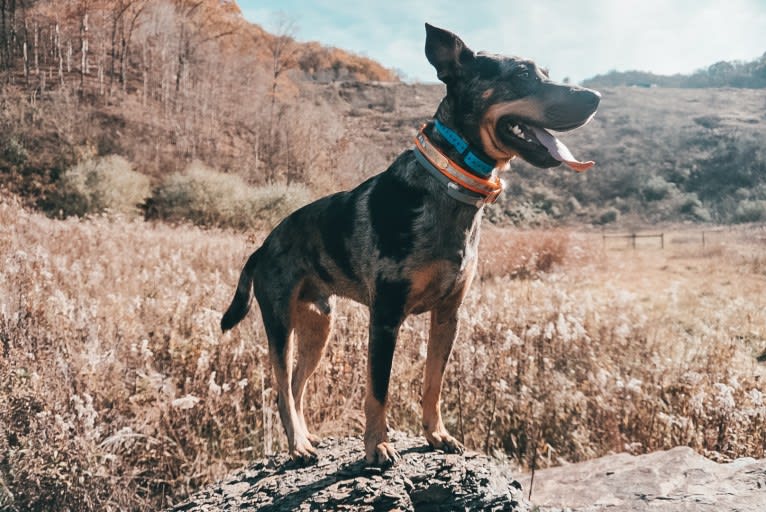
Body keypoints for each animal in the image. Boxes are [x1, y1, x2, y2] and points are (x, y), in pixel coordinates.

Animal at [220, 24, 600, 466]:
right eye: (522, 75)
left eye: (546, 72)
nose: (595, 97)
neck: (449, 184)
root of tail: (262, 247)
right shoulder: (385, 316)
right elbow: (378, 389)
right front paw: (377, 446)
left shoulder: (448, 315)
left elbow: (433, 382)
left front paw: (436, 434)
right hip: (280, 322)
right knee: (281, 387)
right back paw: (297, 445)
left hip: (319, 324)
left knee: (297, 385)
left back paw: (306, 436)